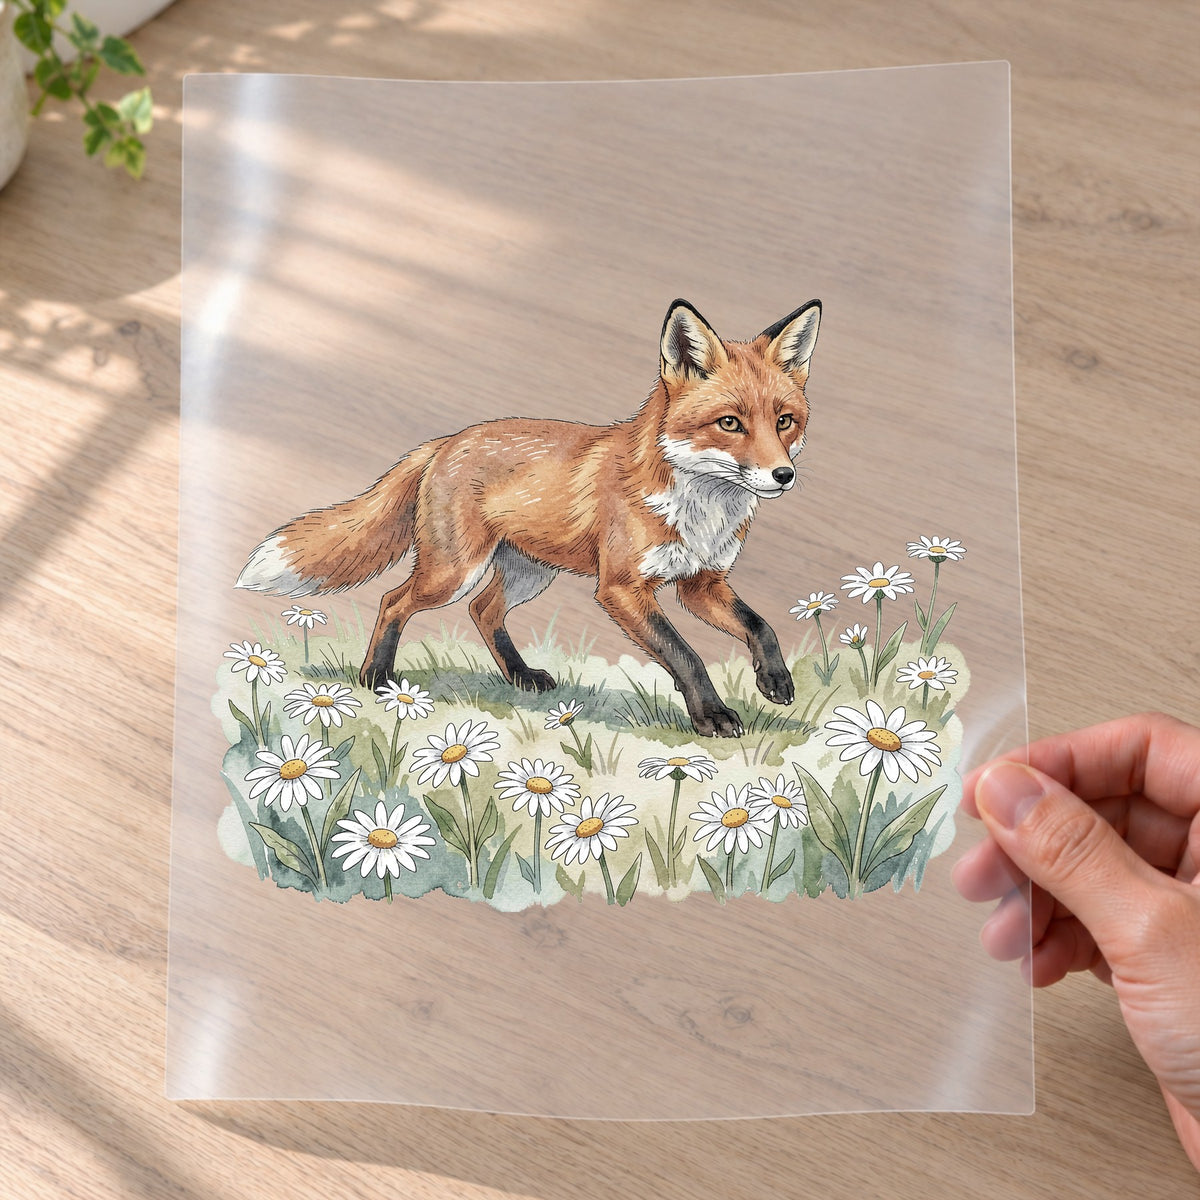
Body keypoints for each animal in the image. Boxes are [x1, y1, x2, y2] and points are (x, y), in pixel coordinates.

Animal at [235, 298, 822, 737]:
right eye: (730, 423)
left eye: (784, 422)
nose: (783, 475)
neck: (701, 508)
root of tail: (446, 441)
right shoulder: (622, 589)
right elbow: (685, 654)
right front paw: (712, 716)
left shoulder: (702, 583)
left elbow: (760, 624)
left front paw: (774, 680)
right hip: (454, 571)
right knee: (394, 601)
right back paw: (376, 676)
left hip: (528, 573)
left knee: (483, 611)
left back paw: (520, 677)